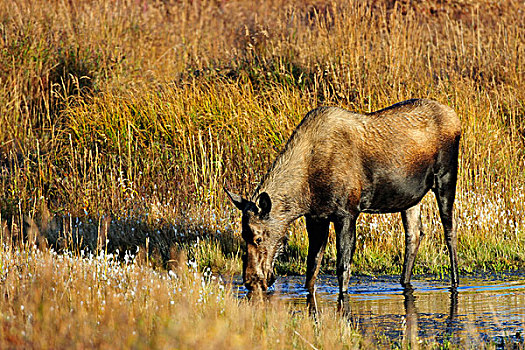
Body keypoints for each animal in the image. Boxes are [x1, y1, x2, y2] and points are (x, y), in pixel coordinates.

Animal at [225, 98, 458, 306]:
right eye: (243, 235)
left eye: (258, 237)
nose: (250, 281)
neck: (303, 193)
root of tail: (455, 116)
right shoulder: (316, 218)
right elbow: (312, 267)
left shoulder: (347, 213)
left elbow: (343, 268)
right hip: (410, 199)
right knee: (414, 235)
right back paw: (404, 282)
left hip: (446, 177)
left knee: (449, 231)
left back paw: (454, 282)